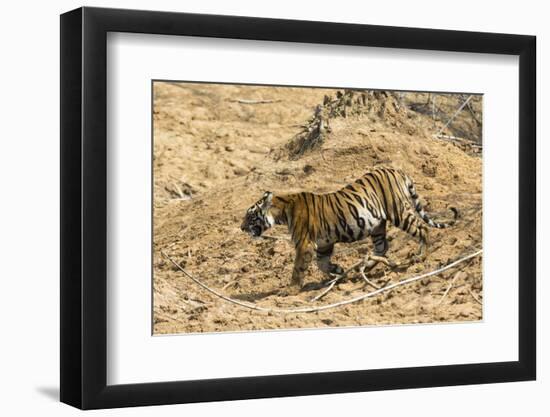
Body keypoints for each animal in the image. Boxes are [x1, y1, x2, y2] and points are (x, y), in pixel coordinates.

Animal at [239, 166, 460, 290]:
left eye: (250, 216)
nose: (241, 228)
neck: (282, 211)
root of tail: (397, 170)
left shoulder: (304, 244)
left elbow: (298, 268)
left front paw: (290, 291)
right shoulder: (324, 244)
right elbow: (322, 263)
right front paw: (338, 271)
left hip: (398, 212)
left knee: (422, 229)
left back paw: (421, 256)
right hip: (377, 225)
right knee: (382, 248)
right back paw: (367, 266)